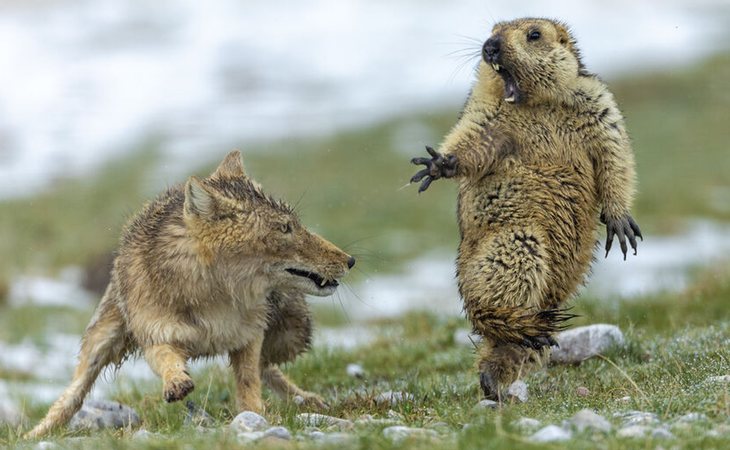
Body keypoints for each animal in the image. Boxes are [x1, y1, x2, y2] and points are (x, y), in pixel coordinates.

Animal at [27, 149, 356, 438]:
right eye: (285, 228)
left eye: (296, 225)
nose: (350, 260)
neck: (214, 298)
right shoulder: (157, 335)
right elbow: (167, 360)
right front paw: (176, 383)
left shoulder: (249, 336)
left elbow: (249, 381)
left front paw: (255, 415)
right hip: (100, 341)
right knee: (72, 395)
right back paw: (36, 432)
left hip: (292, 334)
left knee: (268, 367)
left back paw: (306, 399)